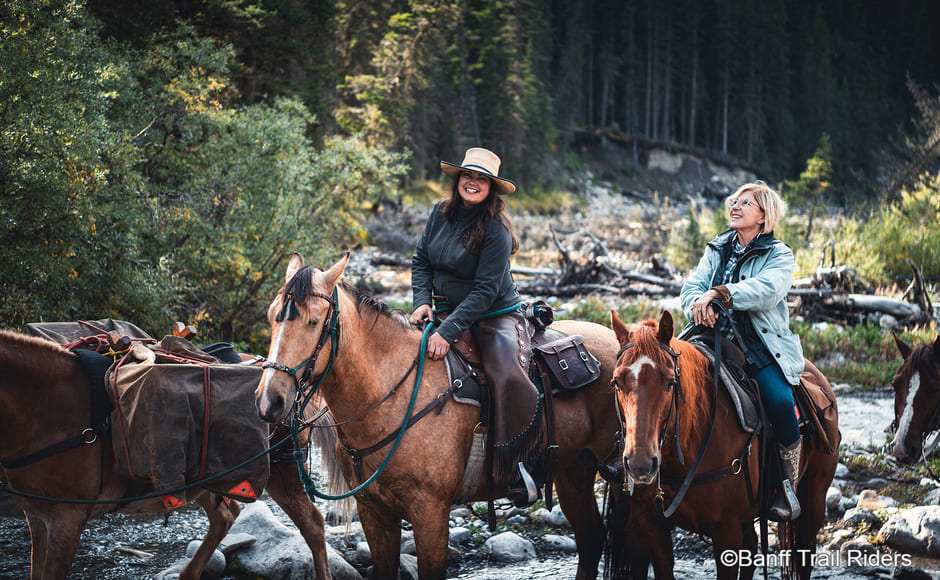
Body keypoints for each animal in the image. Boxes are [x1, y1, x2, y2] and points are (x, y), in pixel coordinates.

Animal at [0, 328, 332, 580]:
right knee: (226, 515)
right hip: (206, 480)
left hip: (281, 472)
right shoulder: (37, 517)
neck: (49, 407)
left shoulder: (66, 521)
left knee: (313, 525)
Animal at [253, 253, 628, 580]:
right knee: (591, 539)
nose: (269, 401)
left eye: (314, 322)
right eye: (271, 316)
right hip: (574, 471)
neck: (392, 395)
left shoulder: (430, 512)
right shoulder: (374, 513)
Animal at [608, 312, 844, 580]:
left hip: (813, 497)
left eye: (669, 382)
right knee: (752, 546)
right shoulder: (651, 526)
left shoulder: (726, 531)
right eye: (617, 381)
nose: (640, 464)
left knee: (804, 553)